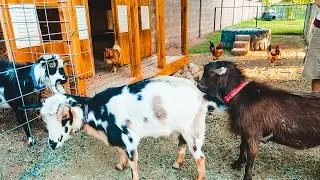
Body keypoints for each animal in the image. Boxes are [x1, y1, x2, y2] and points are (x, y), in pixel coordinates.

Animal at [20, 76, 226, 180]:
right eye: (43, 120)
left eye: (64, 117)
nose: (52, 143)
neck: (98, 111)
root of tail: (200, 94)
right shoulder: (118, 138)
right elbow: (120, 152)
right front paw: (120, 165)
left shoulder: (129, 139)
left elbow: (134, 166)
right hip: (184, 127)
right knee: (182, 143)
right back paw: (177, 163)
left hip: (194, 129)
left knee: (200, 156)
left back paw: (198, 177)